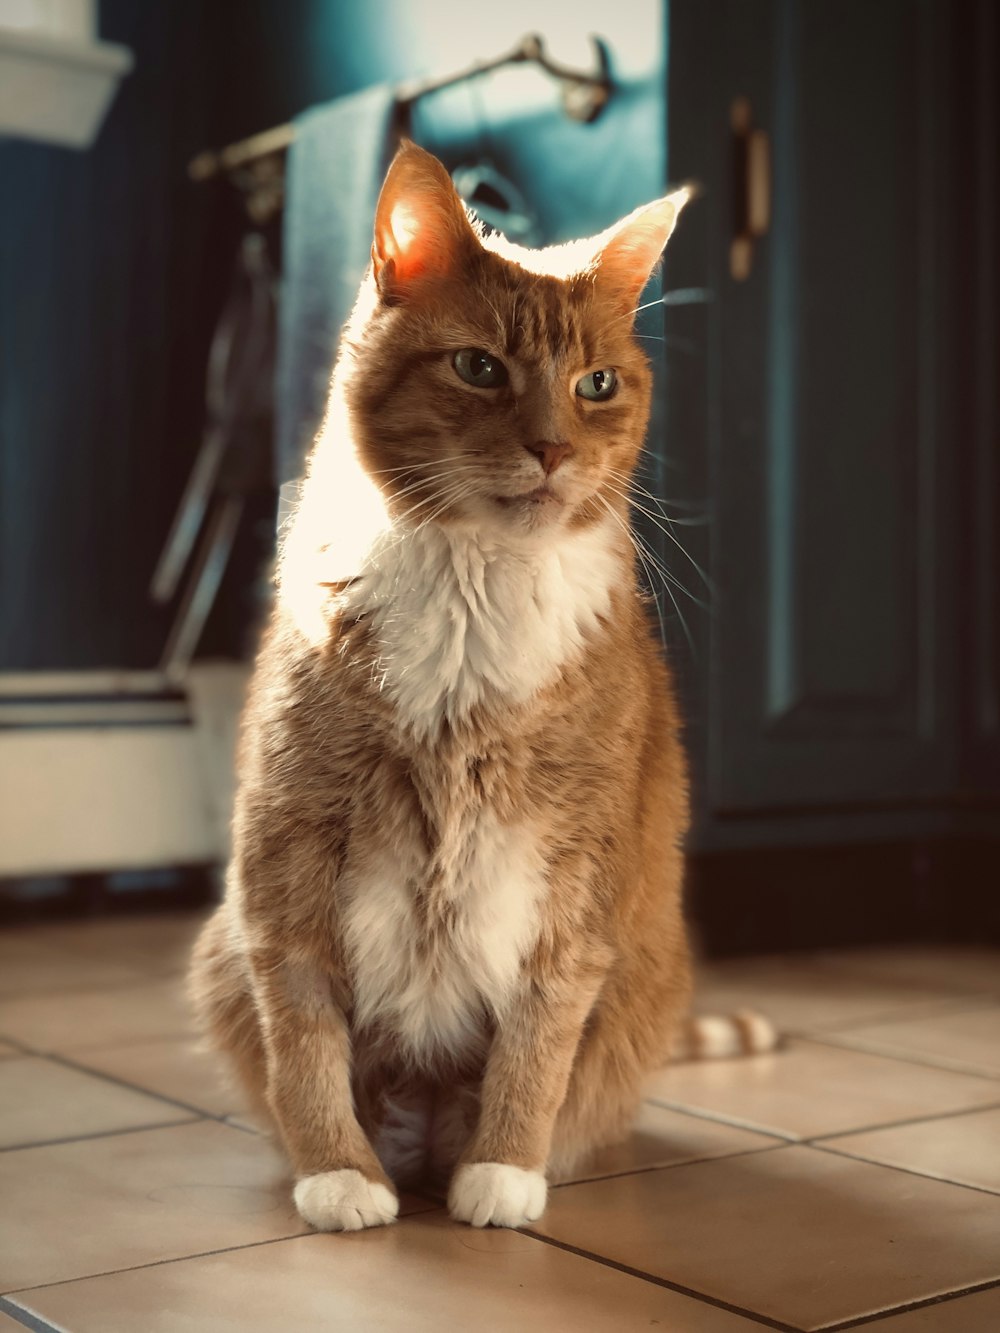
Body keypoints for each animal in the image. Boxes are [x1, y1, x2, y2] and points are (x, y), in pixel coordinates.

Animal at [189, 140, 773, 1231]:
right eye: (477, 367)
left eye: (596, 383)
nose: (551, 447)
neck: (473, 588)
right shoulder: (287, 857)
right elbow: (303, 1036)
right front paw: (338, 1175)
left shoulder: (575, 879)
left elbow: (537, 1041)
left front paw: (503, 1169)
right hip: (218, 950)